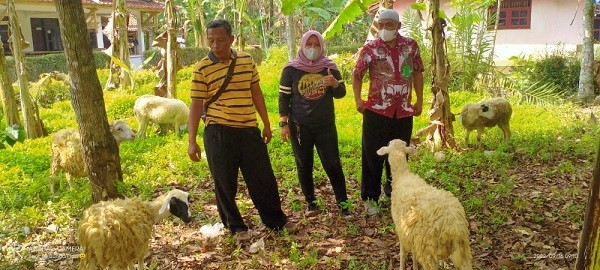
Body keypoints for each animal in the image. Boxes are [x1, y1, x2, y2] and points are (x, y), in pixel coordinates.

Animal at [376, 139, 474, 270]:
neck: (402, 174)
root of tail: (454, 229)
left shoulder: (402, 230)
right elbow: (414, 253)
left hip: (428, 252)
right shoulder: (412, 234)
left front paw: (402, 266)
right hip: (463, 250)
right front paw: (415, 266)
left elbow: (403, 253)